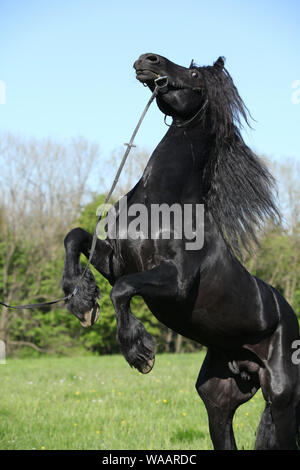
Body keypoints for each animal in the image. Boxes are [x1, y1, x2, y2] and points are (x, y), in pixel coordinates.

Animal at [61, 53, 300, 450]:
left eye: (193, 75)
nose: (148, 59)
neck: (163, 203)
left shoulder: (175, 282)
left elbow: (122, 290)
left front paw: (139, 351)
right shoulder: (118, 261)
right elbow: (75, 238)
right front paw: (80, 300)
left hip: (281, 398)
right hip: (219, 399)